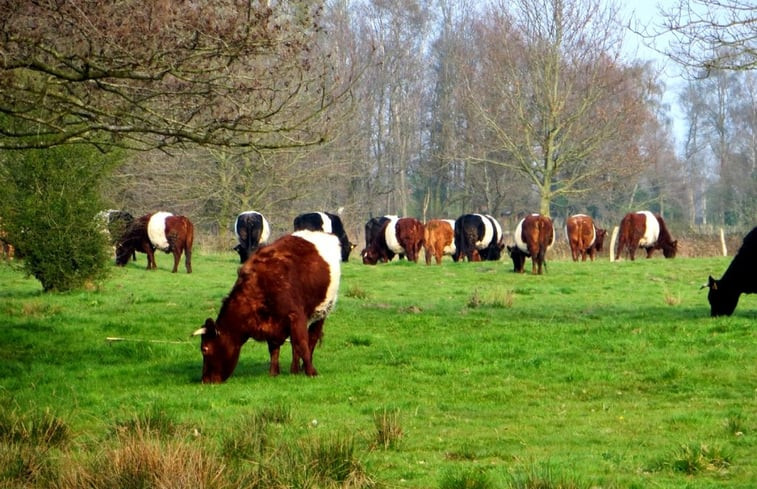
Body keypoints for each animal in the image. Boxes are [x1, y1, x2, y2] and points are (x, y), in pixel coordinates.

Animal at [193, 229, 342, 382]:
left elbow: (302, 344)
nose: (205, 380)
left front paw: (312, 372)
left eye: (204, 349)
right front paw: (273, 372)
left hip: (323, 310)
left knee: (312, 337)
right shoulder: (274, 325)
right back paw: (294, 370)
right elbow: (275, 348)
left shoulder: (296, 315)